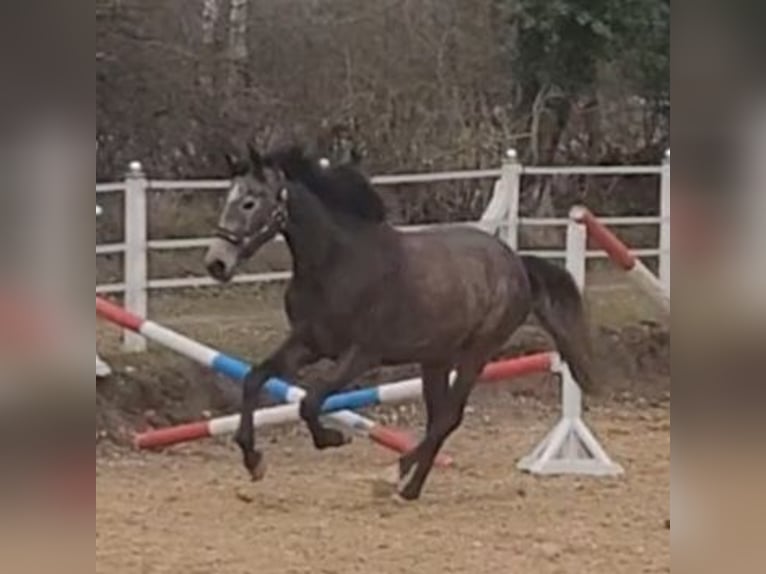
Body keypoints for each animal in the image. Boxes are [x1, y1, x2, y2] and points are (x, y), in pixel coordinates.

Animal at [204, 145, 595, 501]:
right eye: (228, 197)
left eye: (250, 202)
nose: (216, 264)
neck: (335, 263)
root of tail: (516, 263)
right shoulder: (309, 343)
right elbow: (255, 378)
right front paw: (253, 460)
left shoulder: (361, 354)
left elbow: (311, 401)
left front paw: (332, 438)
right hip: (435, 359)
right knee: (439, 417)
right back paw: (410, 485)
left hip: (477, 353)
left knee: (448, 417)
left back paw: (394, 475)